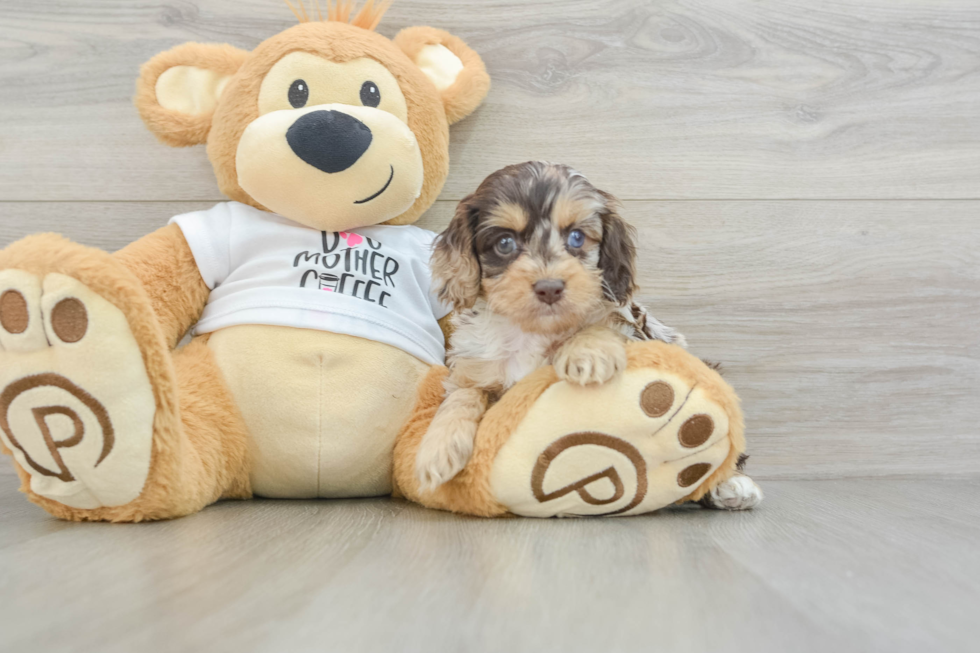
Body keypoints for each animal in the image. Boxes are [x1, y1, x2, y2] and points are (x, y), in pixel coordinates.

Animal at [414, 162, 680, 488]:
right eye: (505, 243)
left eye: (577, 237)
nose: (549, 288)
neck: (530, 332)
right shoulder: (471, 368)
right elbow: (462, 395)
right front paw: (438, 448)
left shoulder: (633, 328)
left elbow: (604, 321)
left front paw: (586, 354)